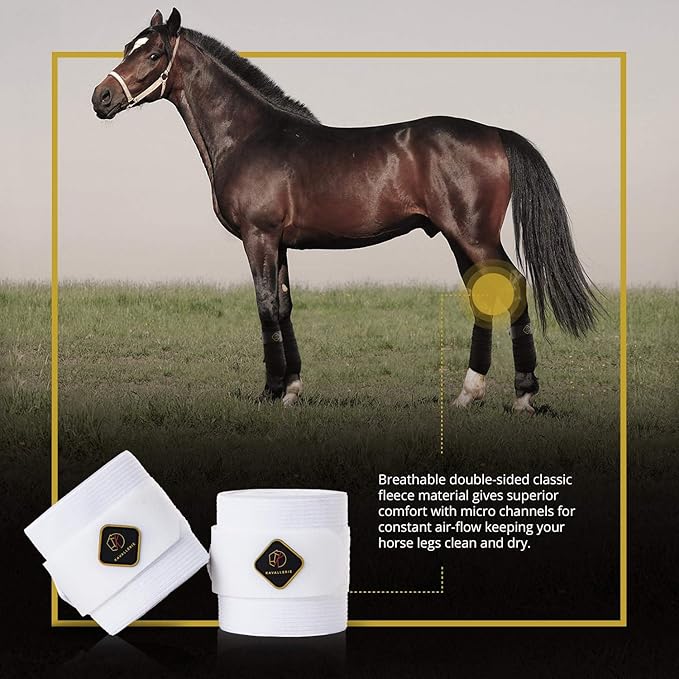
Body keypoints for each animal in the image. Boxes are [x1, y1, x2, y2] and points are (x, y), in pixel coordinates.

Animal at [92, 8, 599, 413]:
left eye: (154, 55)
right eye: (127, 47)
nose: (101, 98)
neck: (251, 136)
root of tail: (495, 133)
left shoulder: (259, 236)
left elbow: (265, 306)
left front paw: (270, 392)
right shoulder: (279, 243)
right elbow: (284, 305)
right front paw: (292, 390)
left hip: (474, 236)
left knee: (513, 287)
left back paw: (523, 395)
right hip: (460, 239)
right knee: (484, 295)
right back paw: (467, 394)